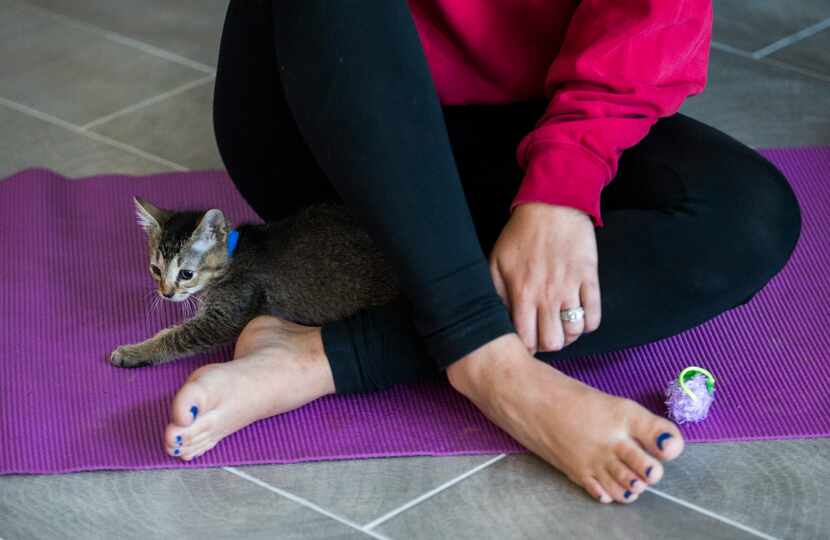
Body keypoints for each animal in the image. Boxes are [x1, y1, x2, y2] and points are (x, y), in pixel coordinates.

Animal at [109, 196, 402, 370]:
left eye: (186, 274)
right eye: (155, 269)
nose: (166, 293)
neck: (232, 258)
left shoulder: (223, 317)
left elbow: (174, 336)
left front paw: (134, 351)